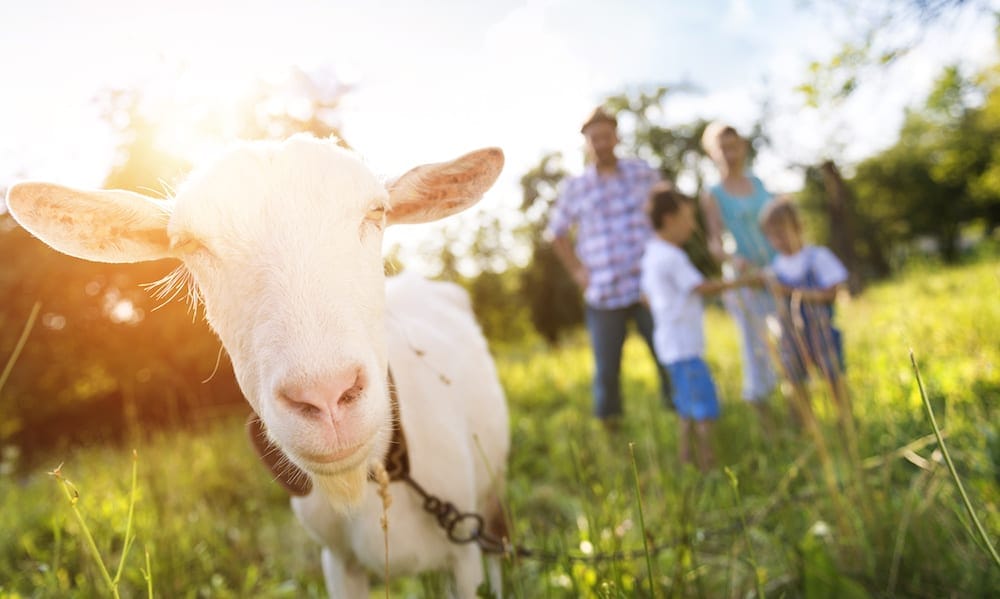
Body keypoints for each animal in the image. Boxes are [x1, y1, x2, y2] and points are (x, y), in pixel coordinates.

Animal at [3, 137, 512, 599]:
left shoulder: (463, 555)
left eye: (376, 212)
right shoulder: (338, 561)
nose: (326, 396)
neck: (375, 476)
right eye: (189, 243)